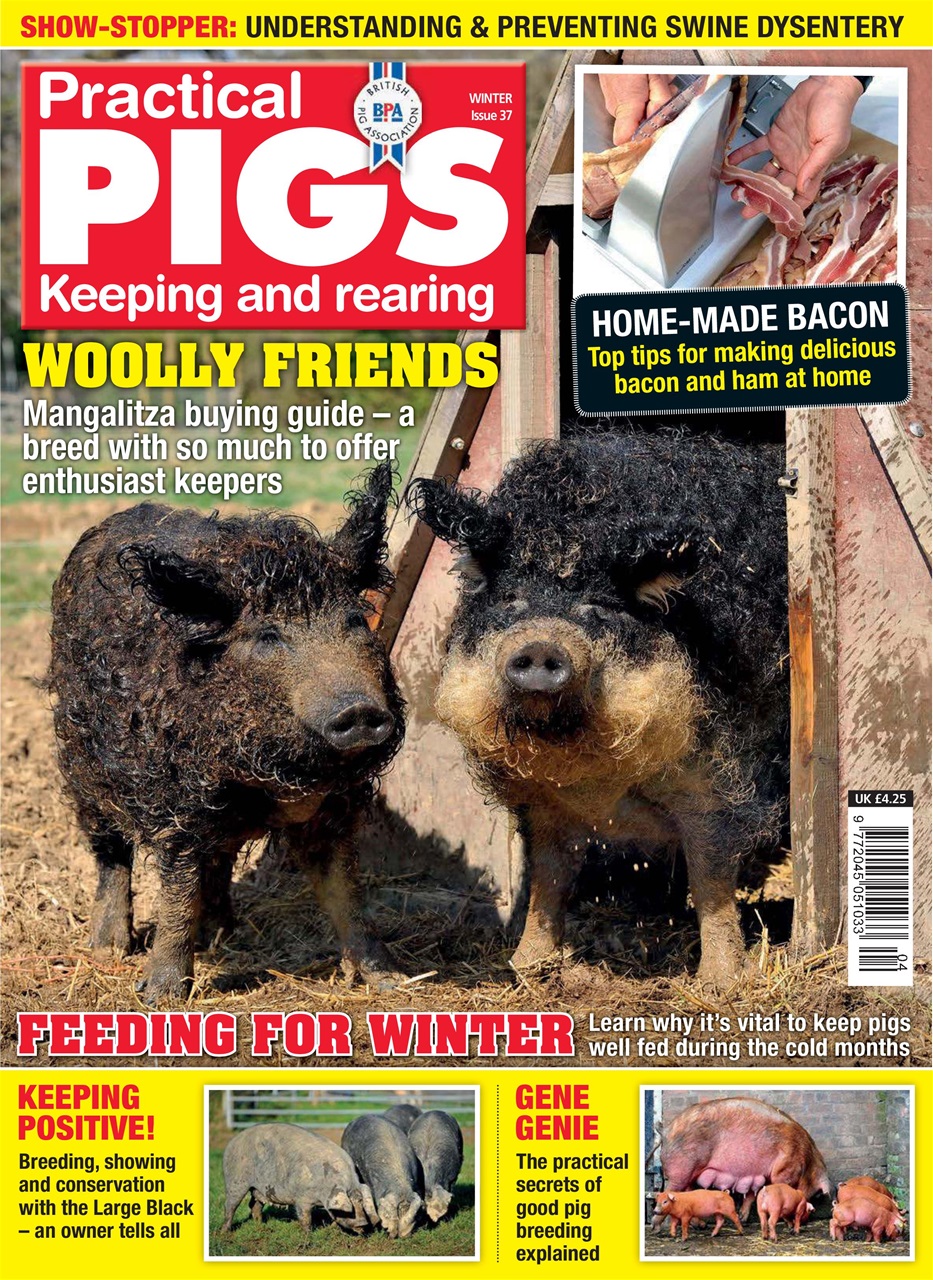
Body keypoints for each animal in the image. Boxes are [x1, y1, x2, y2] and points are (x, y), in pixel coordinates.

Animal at [48, 465, 405, 1001]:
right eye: (269, 636)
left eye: (355, 621)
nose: (359, 708)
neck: (281, 777)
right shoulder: (177, 804)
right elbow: (176, 895)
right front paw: (160, 997)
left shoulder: (335, 806)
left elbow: (348, 893)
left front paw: (393, 981)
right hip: (79, 761)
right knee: (110, 849)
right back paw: (109, 948)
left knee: (219, 858)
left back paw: (220, 933)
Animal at [221, 1123, 379, 1235]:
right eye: (350, 1207)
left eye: (360, 1201)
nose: (363, 1224)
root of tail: (232, 1142)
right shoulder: (302, 1198)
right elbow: (305, 1218)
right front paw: (307, 1236)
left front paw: (333, 1229)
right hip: (235, 1181)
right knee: (230, 1206)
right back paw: (224, 1232)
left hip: (257, 1188)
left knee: (254, 1205)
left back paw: (261, 1225)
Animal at [407, 433, 788, 987]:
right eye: (511, 599)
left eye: (599, 606)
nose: (540, 647)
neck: (593, 773)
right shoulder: (542, 799)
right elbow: (549, 874)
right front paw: (527, 966)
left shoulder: (719, 776)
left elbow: (712, 879)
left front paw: (718, 983)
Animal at [660, 1098, 831, 1221]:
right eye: (817, 1195)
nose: (807, 1220)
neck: (807, 1161)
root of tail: (666, 1130)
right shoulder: (784, 1170)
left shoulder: (758, 1175)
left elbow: (751, 1195)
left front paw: (742, 1218)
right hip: (681, 1169)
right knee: (669, 1191)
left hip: (688, 1173)